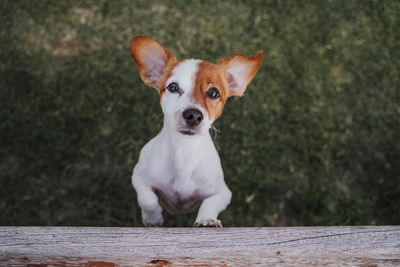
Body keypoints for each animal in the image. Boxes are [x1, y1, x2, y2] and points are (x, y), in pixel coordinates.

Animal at [131, 34, 262, 228]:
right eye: (173, 87)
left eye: (214, 93)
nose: (193, 115)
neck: (184, 150)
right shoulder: (139, 177)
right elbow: (148, 200)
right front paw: (153, 219)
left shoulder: (223, 193)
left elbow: (209, 204)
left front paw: (207, 220)